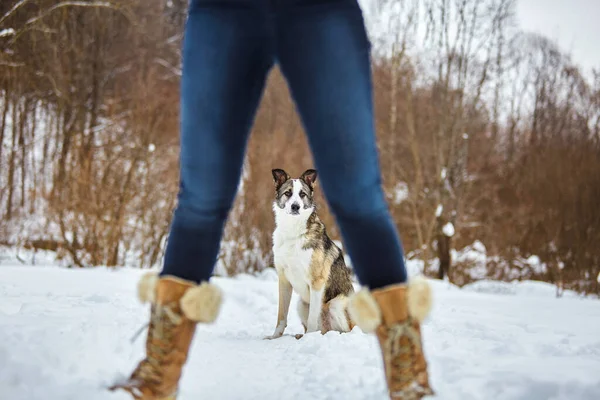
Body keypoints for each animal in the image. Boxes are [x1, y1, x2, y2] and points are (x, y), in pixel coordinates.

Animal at [264, 167, 354, 340]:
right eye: (288, 193)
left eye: (302, 194)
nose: (295, 207)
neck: (293, 231)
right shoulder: (283, 279)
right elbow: (281, 315)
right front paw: (275, 337)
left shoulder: (317, 282)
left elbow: (313, 318)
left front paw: (310, 338)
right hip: (301, 304)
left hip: (335, 304)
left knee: (346, 330)